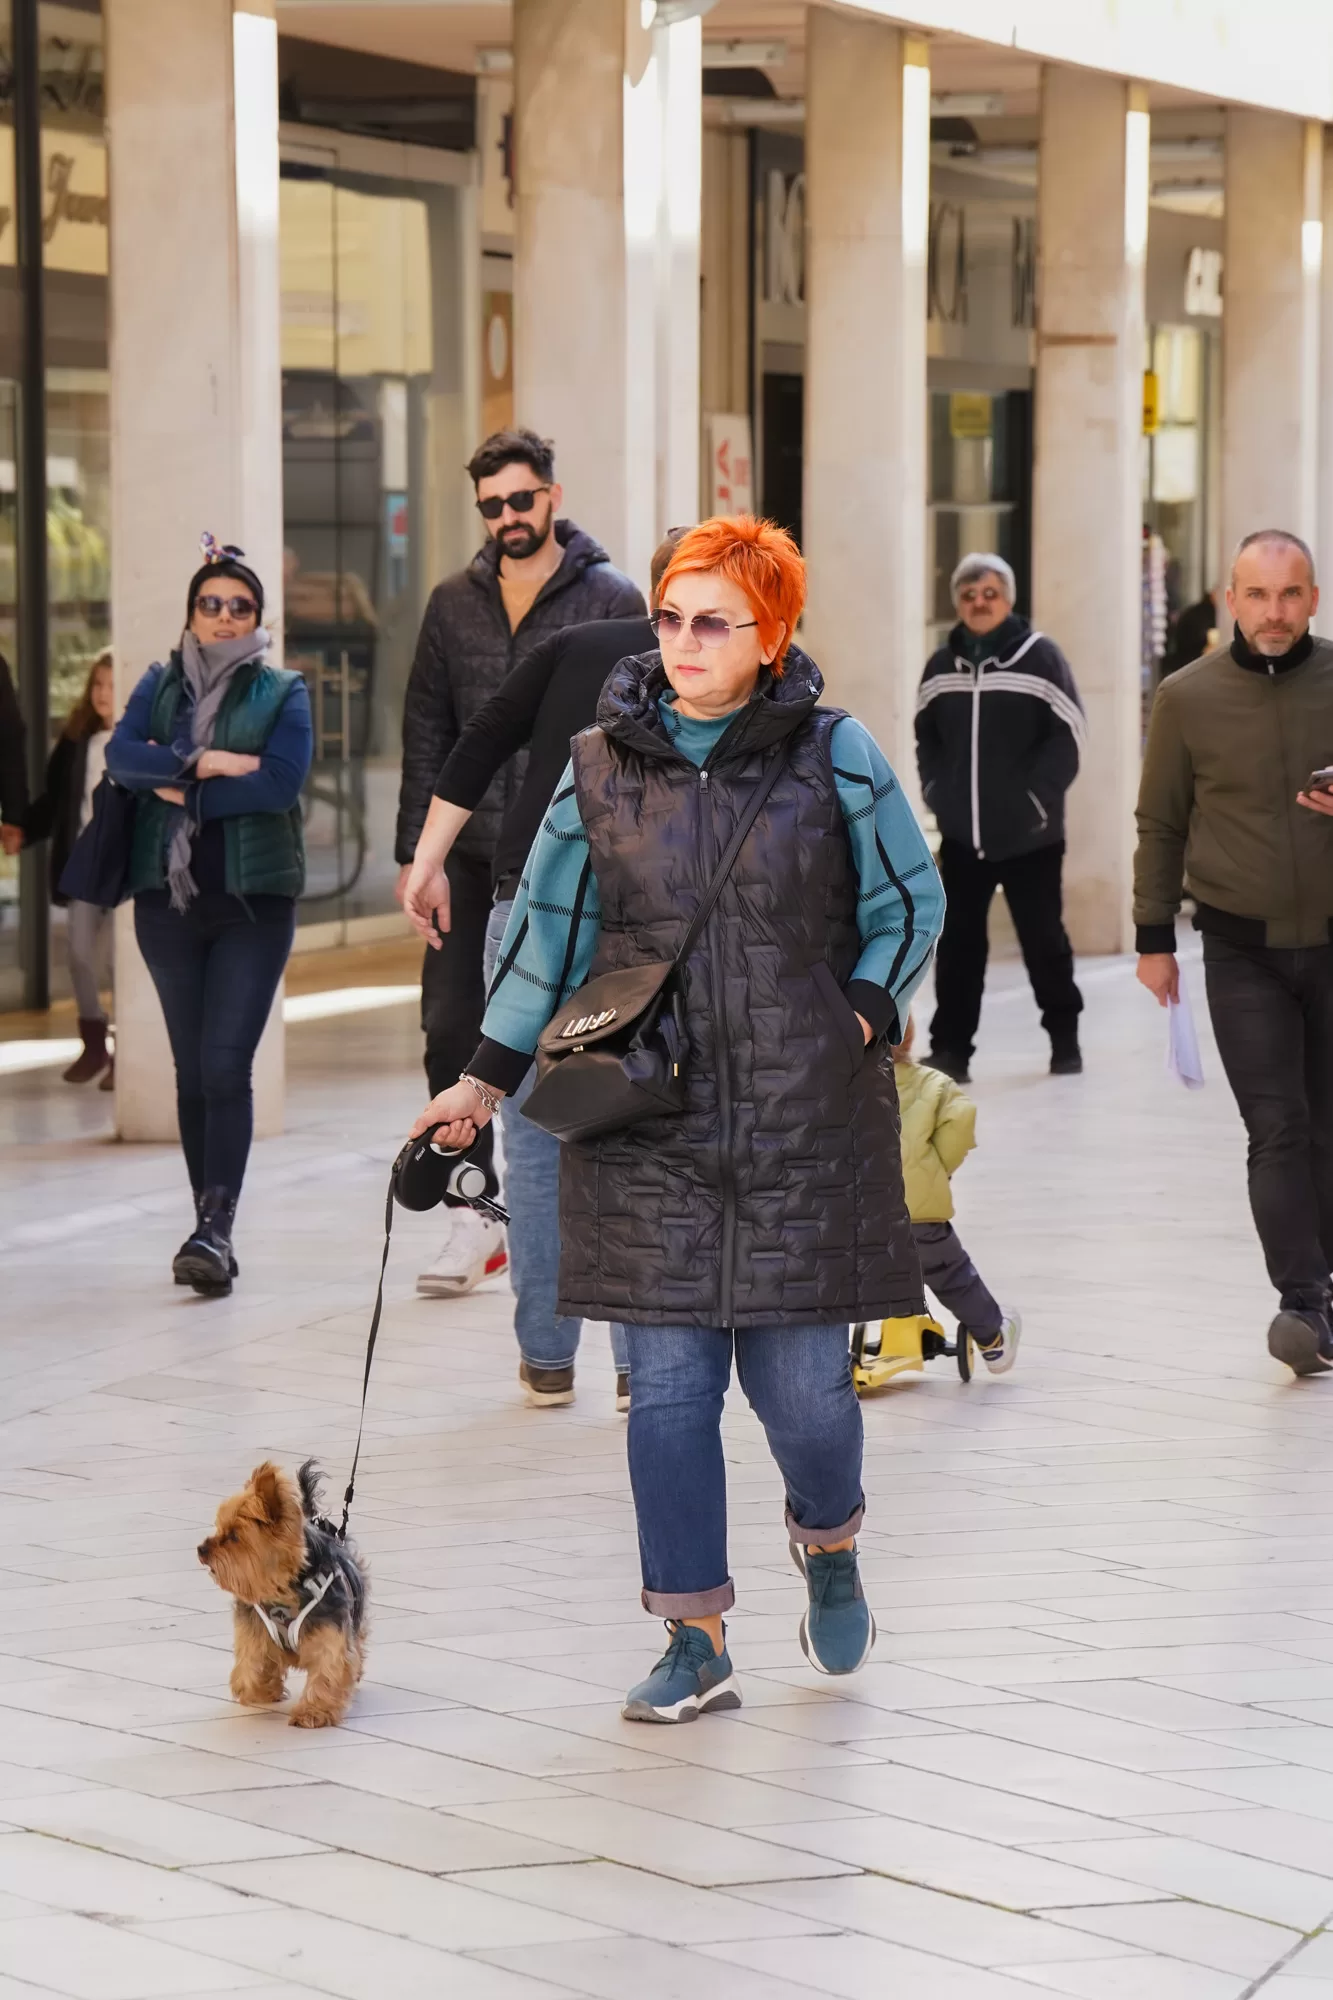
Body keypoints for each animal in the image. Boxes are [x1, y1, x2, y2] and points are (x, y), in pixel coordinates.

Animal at [197, 1459, 368, 1728]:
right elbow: (250, 1667)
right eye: (219, 1528)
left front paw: (313, 1712)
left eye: (234, 1536)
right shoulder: (254, 1631)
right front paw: (263, 1690)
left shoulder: (331, 1633)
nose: (201, 1549)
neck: (282, 1590)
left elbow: (328, 1669)